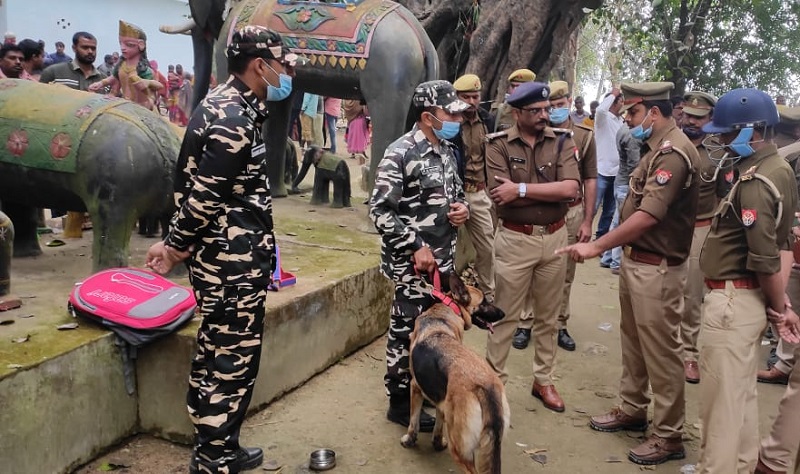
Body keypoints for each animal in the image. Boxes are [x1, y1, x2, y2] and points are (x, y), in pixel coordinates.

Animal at [404, 274, 510, 474]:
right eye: (484, 302)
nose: (503, 314)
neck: (446, 310)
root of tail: (485, 387)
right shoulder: (441, 400)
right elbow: (438, 425)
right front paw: (437, 443)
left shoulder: (415, 387)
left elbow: (413, 421)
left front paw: (409, 440)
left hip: (459, 449)